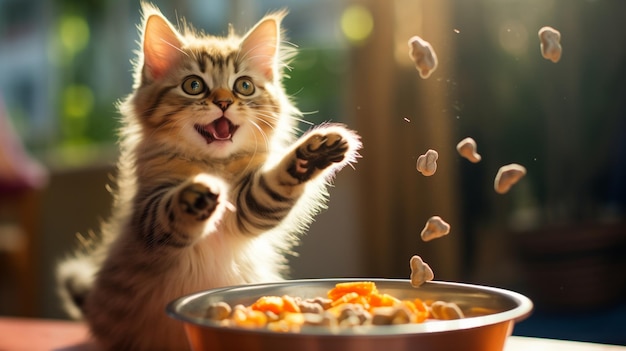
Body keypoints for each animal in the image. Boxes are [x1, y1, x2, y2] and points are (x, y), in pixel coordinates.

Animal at [58, 3, 360, 351]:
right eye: (193, 85)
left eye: (244, 86)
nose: (224, 102)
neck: (212, 164)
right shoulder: (148, 211)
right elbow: (168, 211)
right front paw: (197, 195)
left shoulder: (249, 208)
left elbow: (275, 183)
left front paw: (315, 153)